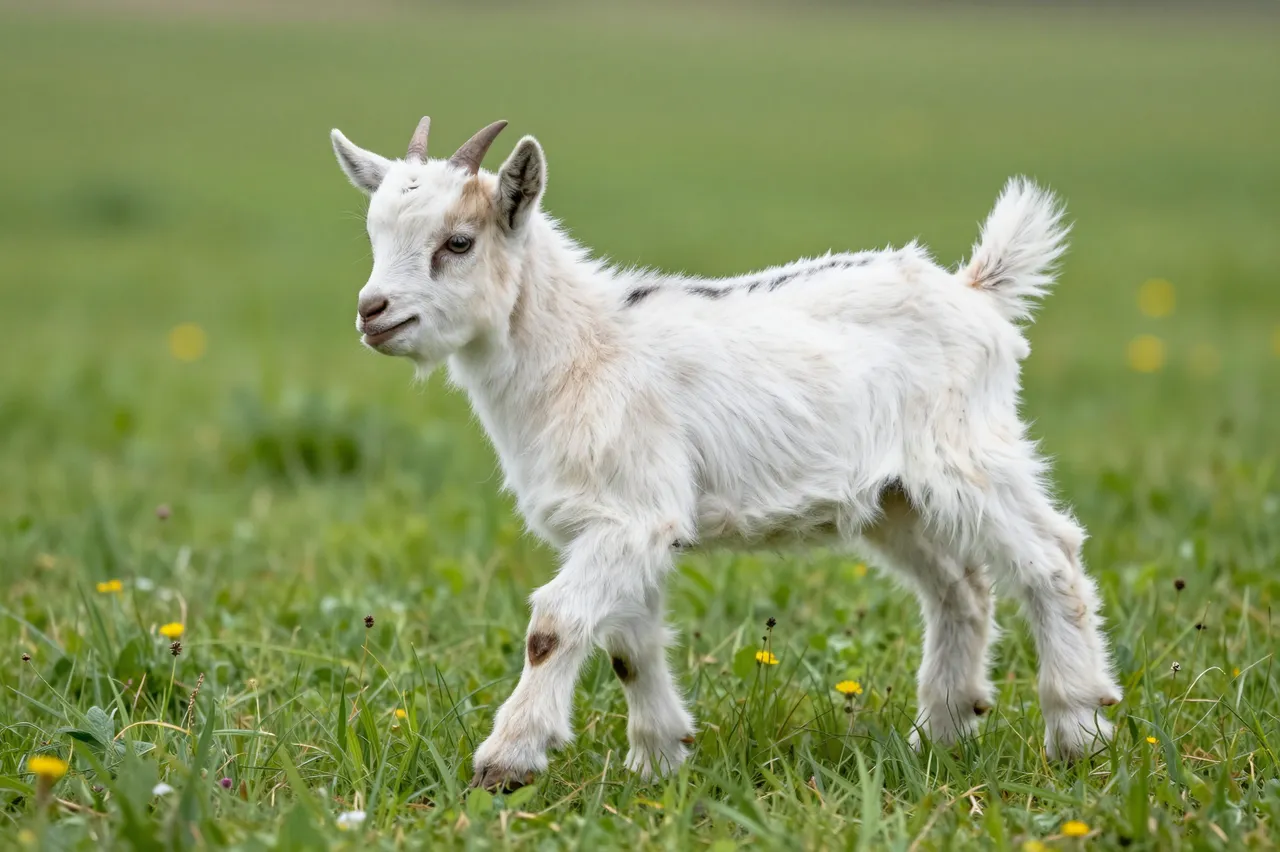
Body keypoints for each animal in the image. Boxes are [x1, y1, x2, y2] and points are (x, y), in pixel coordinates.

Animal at [330, 116, 1122, 790]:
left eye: (459, 242)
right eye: (372, 232)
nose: (372, 313)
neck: (583, 349)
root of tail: (975, 290)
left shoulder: (633, 515)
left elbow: (554, 625)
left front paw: (507, 760)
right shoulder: (627, 526)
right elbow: (630, 644)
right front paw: (658, 763)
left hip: (966, 455)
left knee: (1053, 556)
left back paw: (1077, 732)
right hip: (894, 497)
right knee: (961, 586)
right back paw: (942, 736)